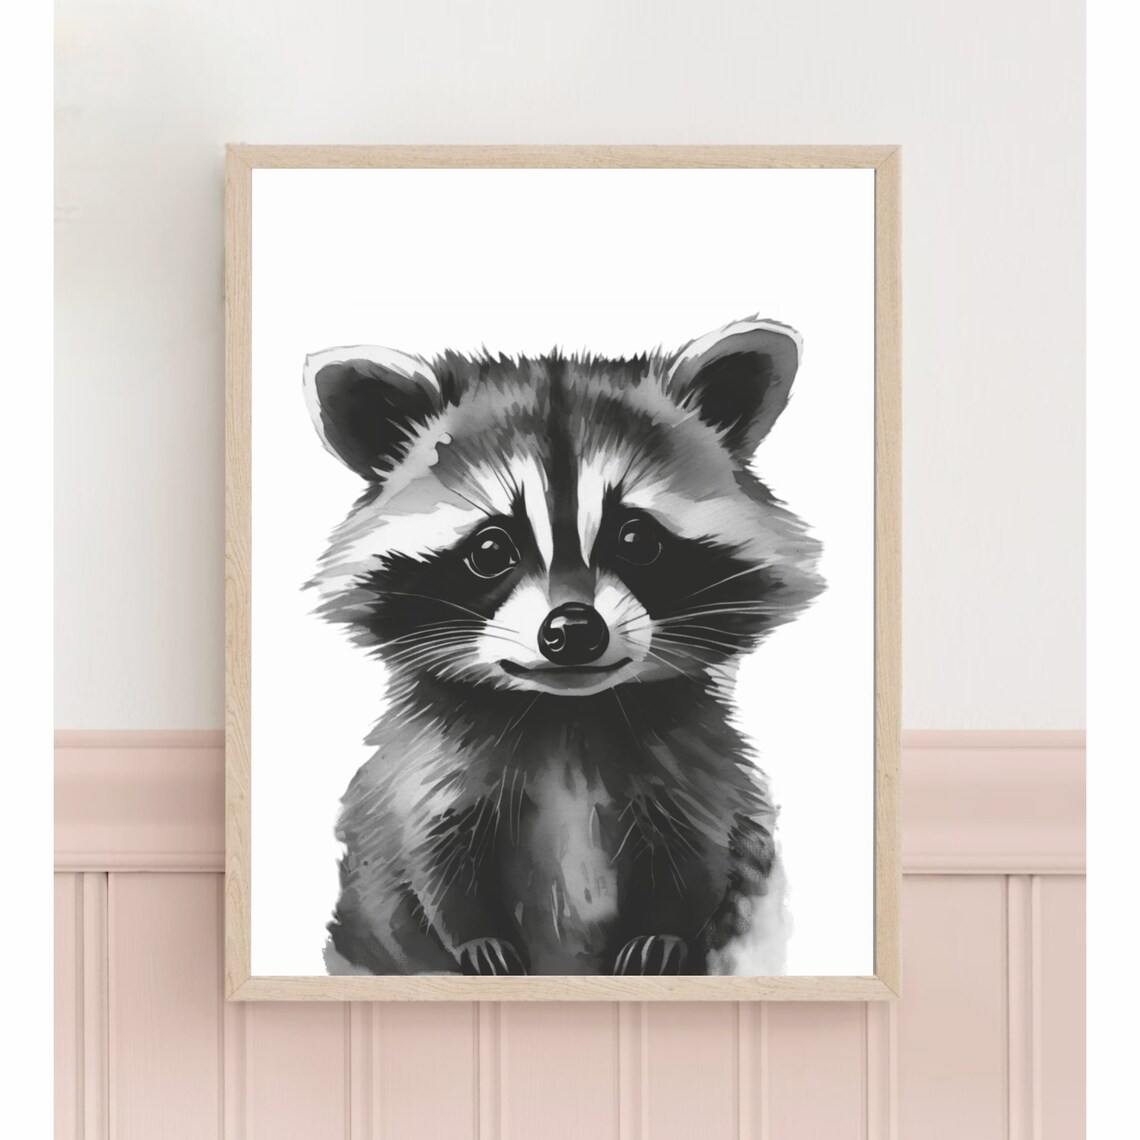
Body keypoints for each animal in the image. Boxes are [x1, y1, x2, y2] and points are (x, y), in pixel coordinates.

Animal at [303, 317, 824, 977]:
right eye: (491, 549)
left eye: (636, 538)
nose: (573, 629)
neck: (565, 714)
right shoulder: (429, 767)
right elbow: (429, 850)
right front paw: (472, 937)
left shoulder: (695, 764)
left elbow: (700, 849)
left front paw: (665, 932)